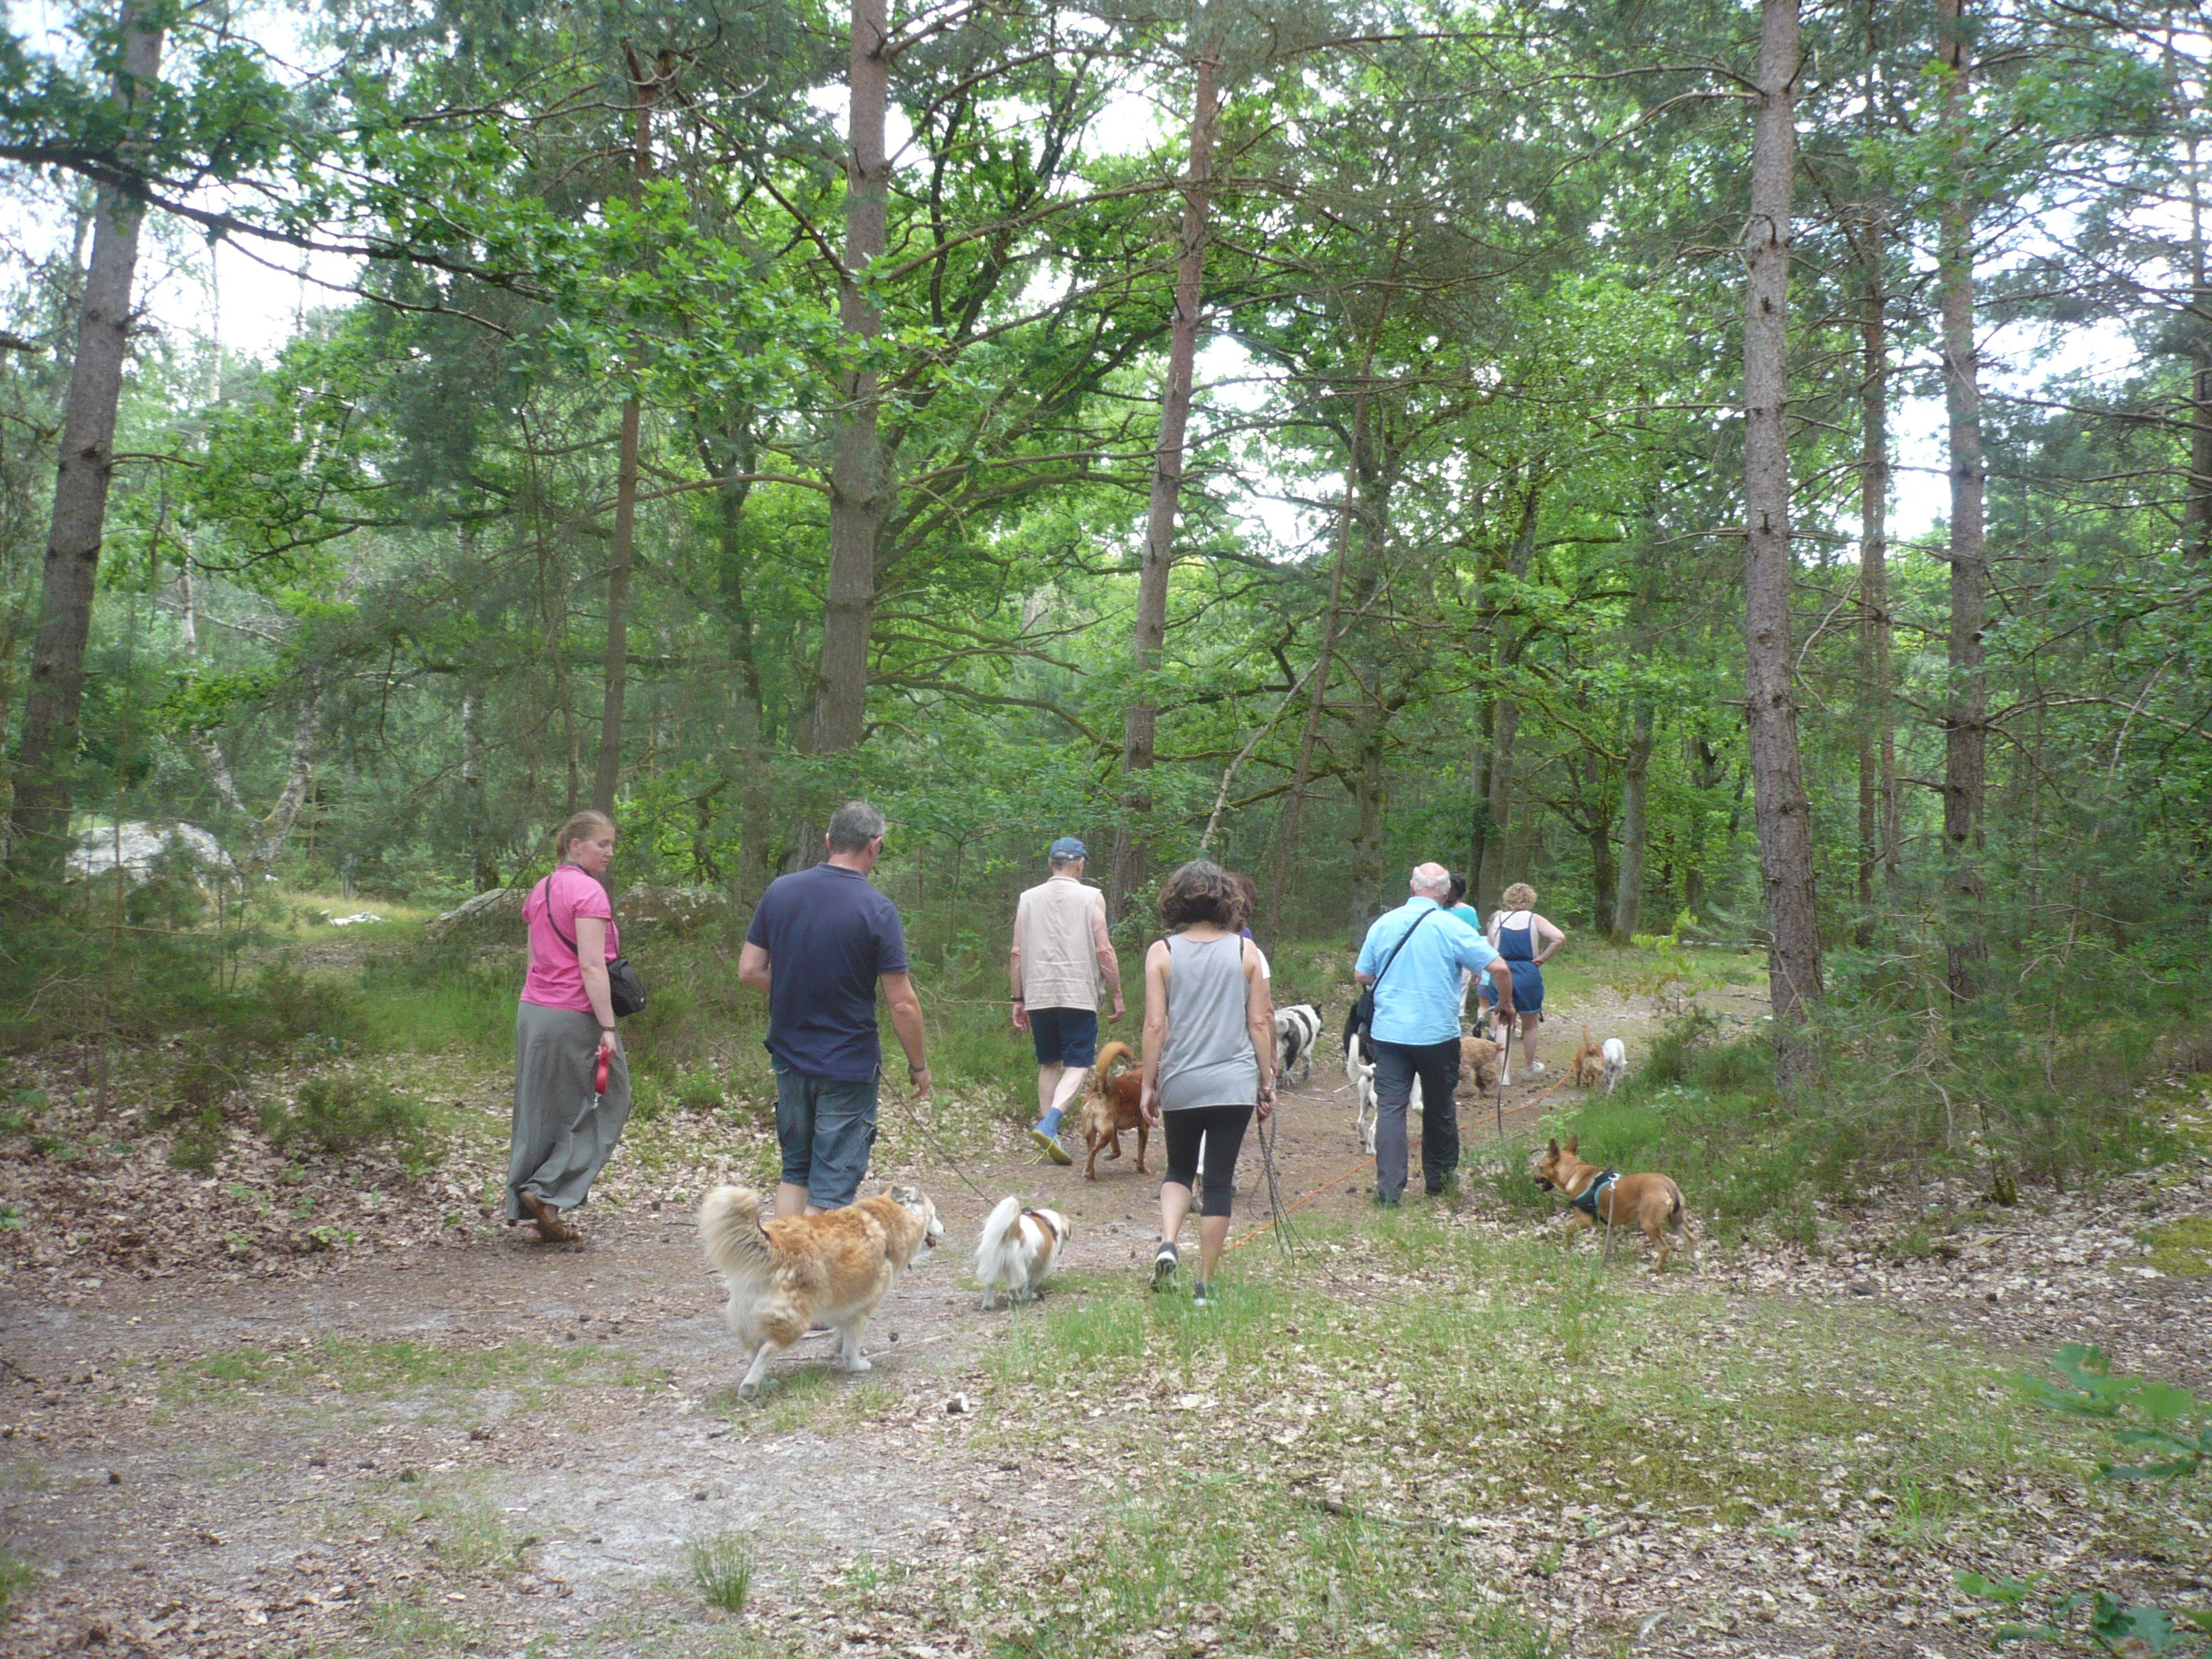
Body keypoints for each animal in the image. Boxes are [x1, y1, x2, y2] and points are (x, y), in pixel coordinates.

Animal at [690, 1185, 933, 1406]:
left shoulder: (845, 1309)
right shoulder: (861, 1311)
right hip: (794, 1320)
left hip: (750, 1318)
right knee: (767, 1350)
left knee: (753, 1353)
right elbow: (852, 1344)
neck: (884, 1222)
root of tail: (775, 1244)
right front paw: (855, 1365)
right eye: (934, 1214)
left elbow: (843, 1339)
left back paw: (764, 1383)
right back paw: (749, 1386)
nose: (942, 1229)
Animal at [973, 1194, 1066, 1309]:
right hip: (1018, 1266)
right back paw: (1018, 1299)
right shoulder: (1041, 1267)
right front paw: (1029, 1295)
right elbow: (1031, 1283)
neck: (1046, 1221)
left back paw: (988, 1304)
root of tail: (1012, 1231)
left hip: (991, 1263)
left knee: (990, 1284)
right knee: (1012, 1287)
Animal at [1079, 1039, 1150, 1185]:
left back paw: (1091, 1173)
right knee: (1093, 1151)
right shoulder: (1144, 1128)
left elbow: (1117, 1150)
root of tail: (1101, 1088)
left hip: (1098, 1131)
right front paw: (1142, 1169)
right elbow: (1141, 1154)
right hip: (1106, 1132)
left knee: (1090, 1152)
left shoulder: (1115, 1128)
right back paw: (1088, 1173)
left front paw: (1109, 1156)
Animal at [1530, 1141, 1698, 1283]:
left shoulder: (1583, 1221)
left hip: (1649, 1224)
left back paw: (1656, 1268)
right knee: (1689, 1237)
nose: (1534, 1178)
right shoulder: (1609, 1225)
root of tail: (1668, 1185)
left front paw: (1566, 1248)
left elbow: (1568, 1229)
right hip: (1675, 1221)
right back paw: (1692, 1262)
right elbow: (1608, 1242)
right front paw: (1607, 1257)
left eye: (1540, 1167)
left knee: (1664, 1248)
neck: (1573, 1173)